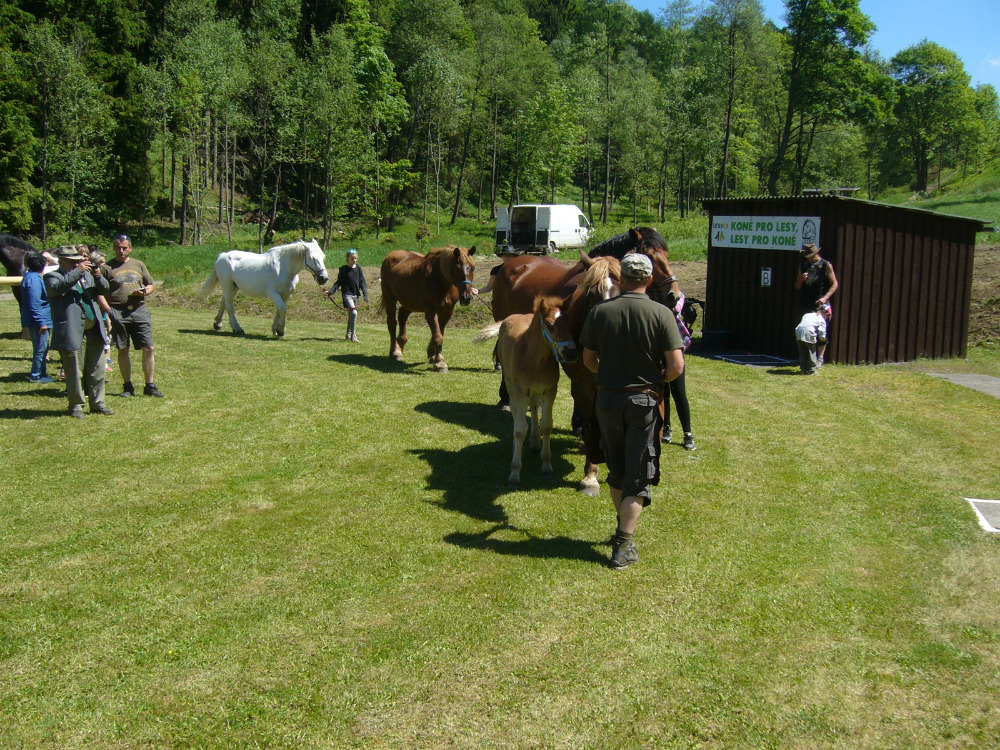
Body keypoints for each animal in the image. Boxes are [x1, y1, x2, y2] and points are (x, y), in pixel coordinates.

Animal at [201, 241, 330, 338]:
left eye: (323, 257)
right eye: (313, 258)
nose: (324, 278)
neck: (283, 268)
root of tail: (222, 256)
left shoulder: (286, 294)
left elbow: (279, 310)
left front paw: (276, 329)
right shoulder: (273, 293)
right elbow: (283, 309)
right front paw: (281, 330)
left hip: (233, 286)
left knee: (224, 302)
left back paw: (218, 324)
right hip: (227, 285)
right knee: (229, 306)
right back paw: (237, 328)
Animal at [380, 245, 478, 374]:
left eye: (473, 268)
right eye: (457, 269)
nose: (467, 298)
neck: (440, 280)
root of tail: (390, 255)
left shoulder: (447, 311)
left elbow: (439, 333)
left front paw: (432, 354)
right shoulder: (431, 311)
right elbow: (438, 336)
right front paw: (441, 362)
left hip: (411, 302)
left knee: (402, 315)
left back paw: (401, 342)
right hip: (390, 297)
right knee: (392, 323)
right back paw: (395, 351)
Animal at [474, 296, 580, 484]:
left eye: (569, 323)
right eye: (550, 325)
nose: (572, 353)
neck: (534, 359)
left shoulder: (550, 390)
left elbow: (546, 425)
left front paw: (546, 464)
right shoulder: (520, 391)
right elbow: (520, 429)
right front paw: (515, 472)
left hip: (535, 392)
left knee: (535, 407)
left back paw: (535, 442)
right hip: (511, 386)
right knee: (516, 411)